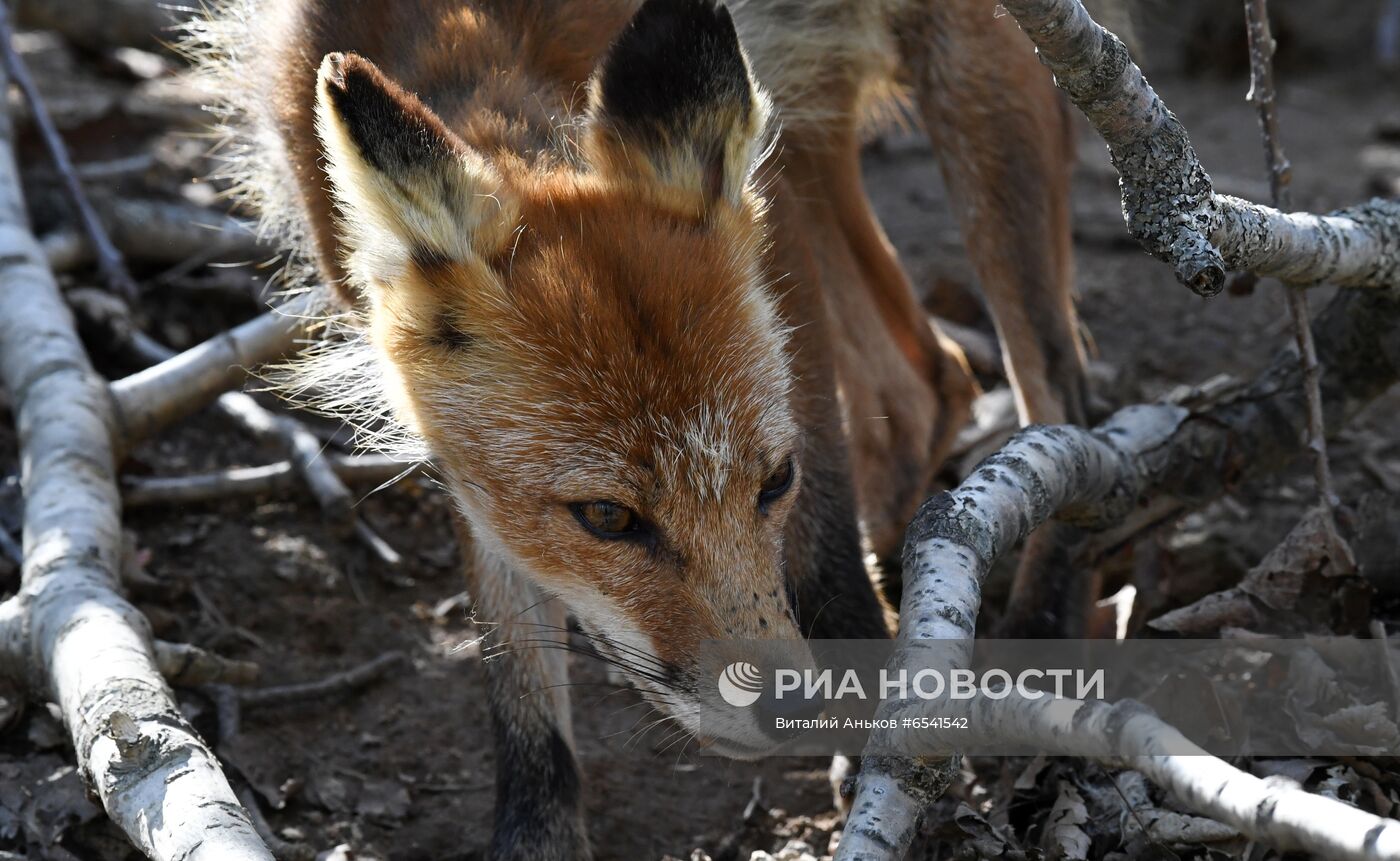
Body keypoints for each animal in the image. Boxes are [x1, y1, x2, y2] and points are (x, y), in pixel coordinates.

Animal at [186, 0, 1080, 856]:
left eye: (775, 481)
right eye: (608, 517)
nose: (783, 703)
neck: (466, 28)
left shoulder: (782, 239)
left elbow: (826, 539)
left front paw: (867, 732)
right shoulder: (456, 440)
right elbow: (514, 661)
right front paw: (538, 835)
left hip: (976, 75)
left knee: (1057, 393)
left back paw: (1043, 633)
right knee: (930, 379)